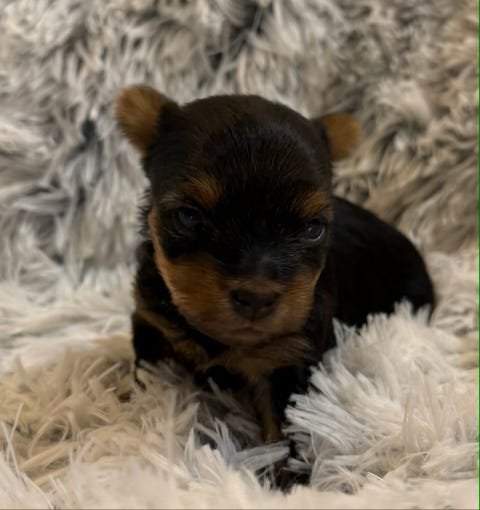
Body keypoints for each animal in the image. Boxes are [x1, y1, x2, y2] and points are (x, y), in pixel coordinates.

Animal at [115, 85, 434, 477]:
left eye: (313, 229)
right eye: (189, 216)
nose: (257, 297)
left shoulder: (287, 355)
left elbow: (285, 431)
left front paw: (287, 481)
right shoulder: (152, 323)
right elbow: (151, 381)